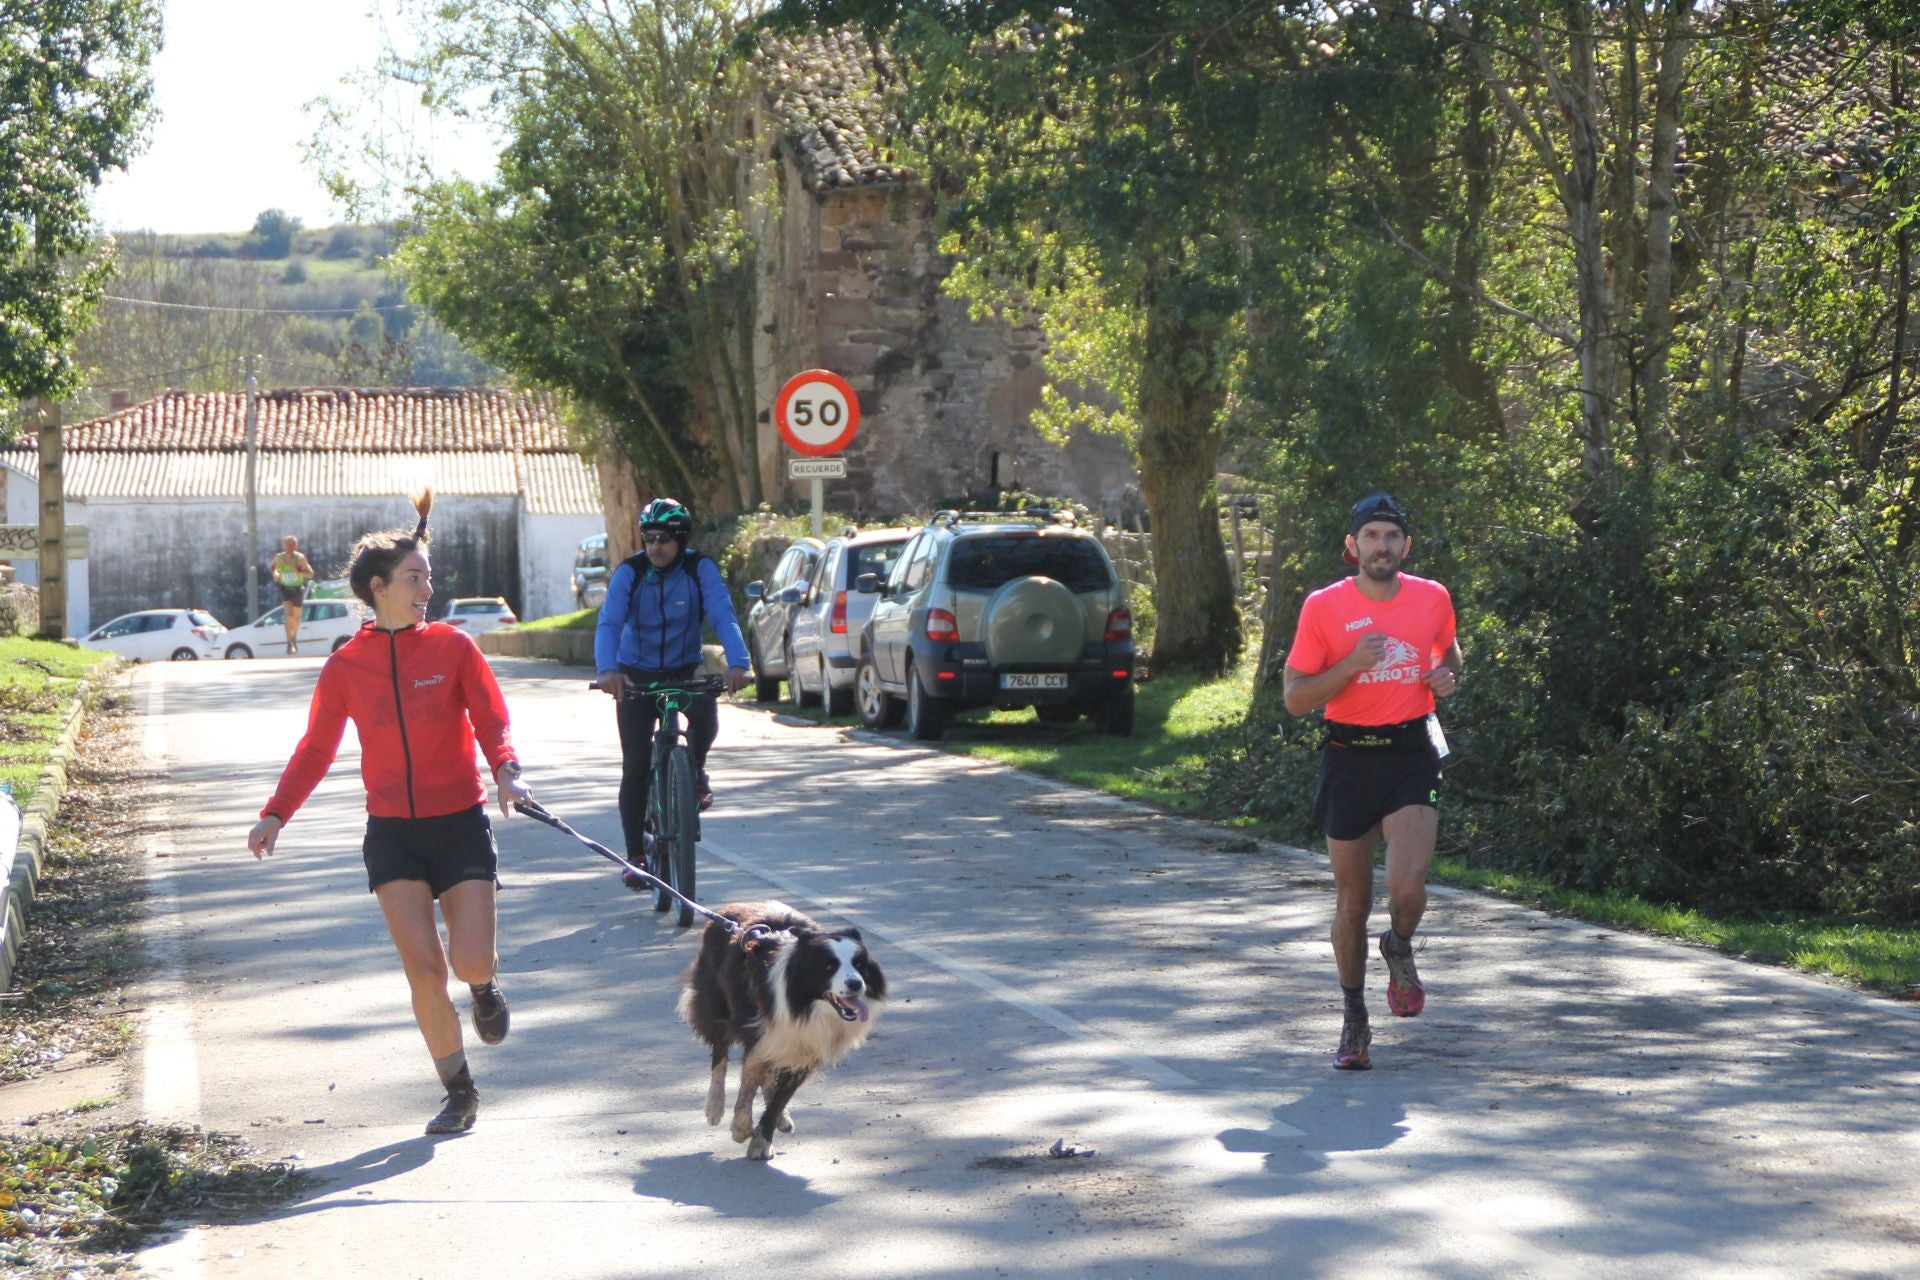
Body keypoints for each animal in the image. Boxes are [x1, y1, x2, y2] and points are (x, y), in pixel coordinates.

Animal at [675, 901, 883, 1159]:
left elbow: (779, 1098)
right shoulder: (761, 1033)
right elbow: (748, 1083)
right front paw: (741, 1130)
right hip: (716, 1001)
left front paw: (762, 1139)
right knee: (719, 1054)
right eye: (829, 966)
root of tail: (730, 908)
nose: (855, 984)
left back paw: (781, 1119)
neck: (806, 1007)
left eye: (859, 964)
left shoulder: (804, 1047)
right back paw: (715, 1106)